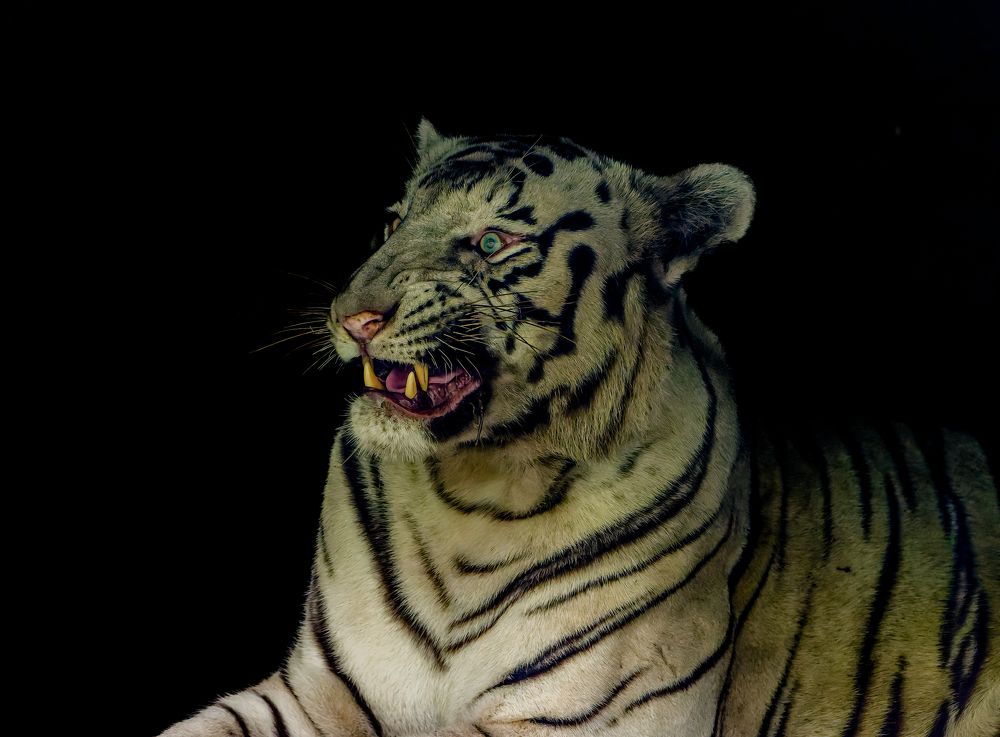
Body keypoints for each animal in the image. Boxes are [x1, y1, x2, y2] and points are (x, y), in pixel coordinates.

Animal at [161, 119, 999, 737]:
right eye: (393, 222)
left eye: (491, 241)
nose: (353, 316)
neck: (469, 493)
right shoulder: (318, 690)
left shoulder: (584, 715)